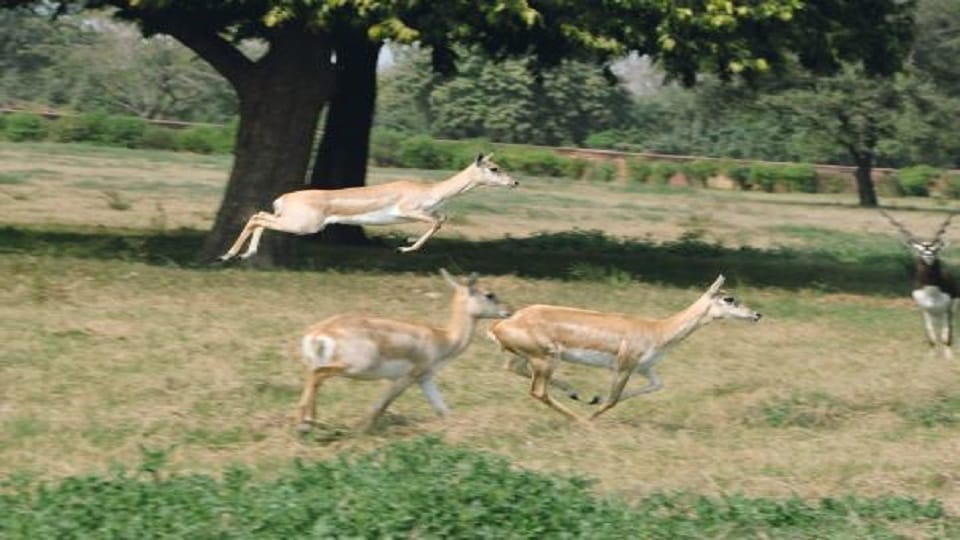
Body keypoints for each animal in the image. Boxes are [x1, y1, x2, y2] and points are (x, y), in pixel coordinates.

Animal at [220, 153, 517, 261]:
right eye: (494, 167)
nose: (514, 181)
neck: (431, 190)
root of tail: (283, 198)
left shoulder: (428, 212)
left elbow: (441, 218)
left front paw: (406, 242)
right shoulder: (408, 211)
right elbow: (438, 221)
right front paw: (405, 246)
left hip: (291, 221)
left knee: (259, 215)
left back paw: (243, 254)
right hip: (303, 226)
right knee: (257, 217)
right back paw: (229, 254)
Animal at [295, 269, 511, 432]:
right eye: (489, 294)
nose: (508, 312)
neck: (442, 337)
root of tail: (318, 333)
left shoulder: (425, 378)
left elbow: (442, 409)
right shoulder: (408, 376)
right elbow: (381, 405)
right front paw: (362, 431)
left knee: (313, 378)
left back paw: (308, 423)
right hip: (353, 366)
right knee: (318, 374)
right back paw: (305, 424)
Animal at [488, 275, 761, 424]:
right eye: (729, 298)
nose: (757, 314)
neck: (657, 329)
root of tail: (500, 324)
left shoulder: (645, 369)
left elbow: (655, 386)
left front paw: (595, 399)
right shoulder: (624, 366)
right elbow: (614, 399)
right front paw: (591, 416)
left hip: (533, 358)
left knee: (512, 368)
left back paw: (578, 394)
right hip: (546, 359)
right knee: (537, 391)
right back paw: (580, 420)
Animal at [880, 210, 960, 358]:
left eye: (936, 249)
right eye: (920, 250)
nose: (929, 256)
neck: (931, 293)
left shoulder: (946, 310)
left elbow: (946, 337)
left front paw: (948, 358)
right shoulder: (924, 311)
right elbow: (931, 338)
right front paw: (931, 357)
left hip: (948, 311)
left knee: (947, 332)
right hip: (934, 315)